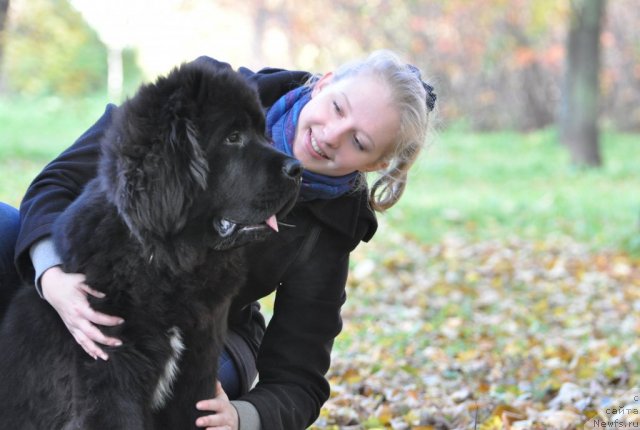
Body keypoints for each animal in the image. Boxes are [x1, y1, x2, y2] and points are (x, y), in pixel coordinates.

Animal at [0, 58, 302, 428]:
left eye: (263, 133)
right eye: (233, 137)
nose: (298, 168)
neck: (168, 264)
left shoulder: (196, 372)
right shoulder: (109, 384)